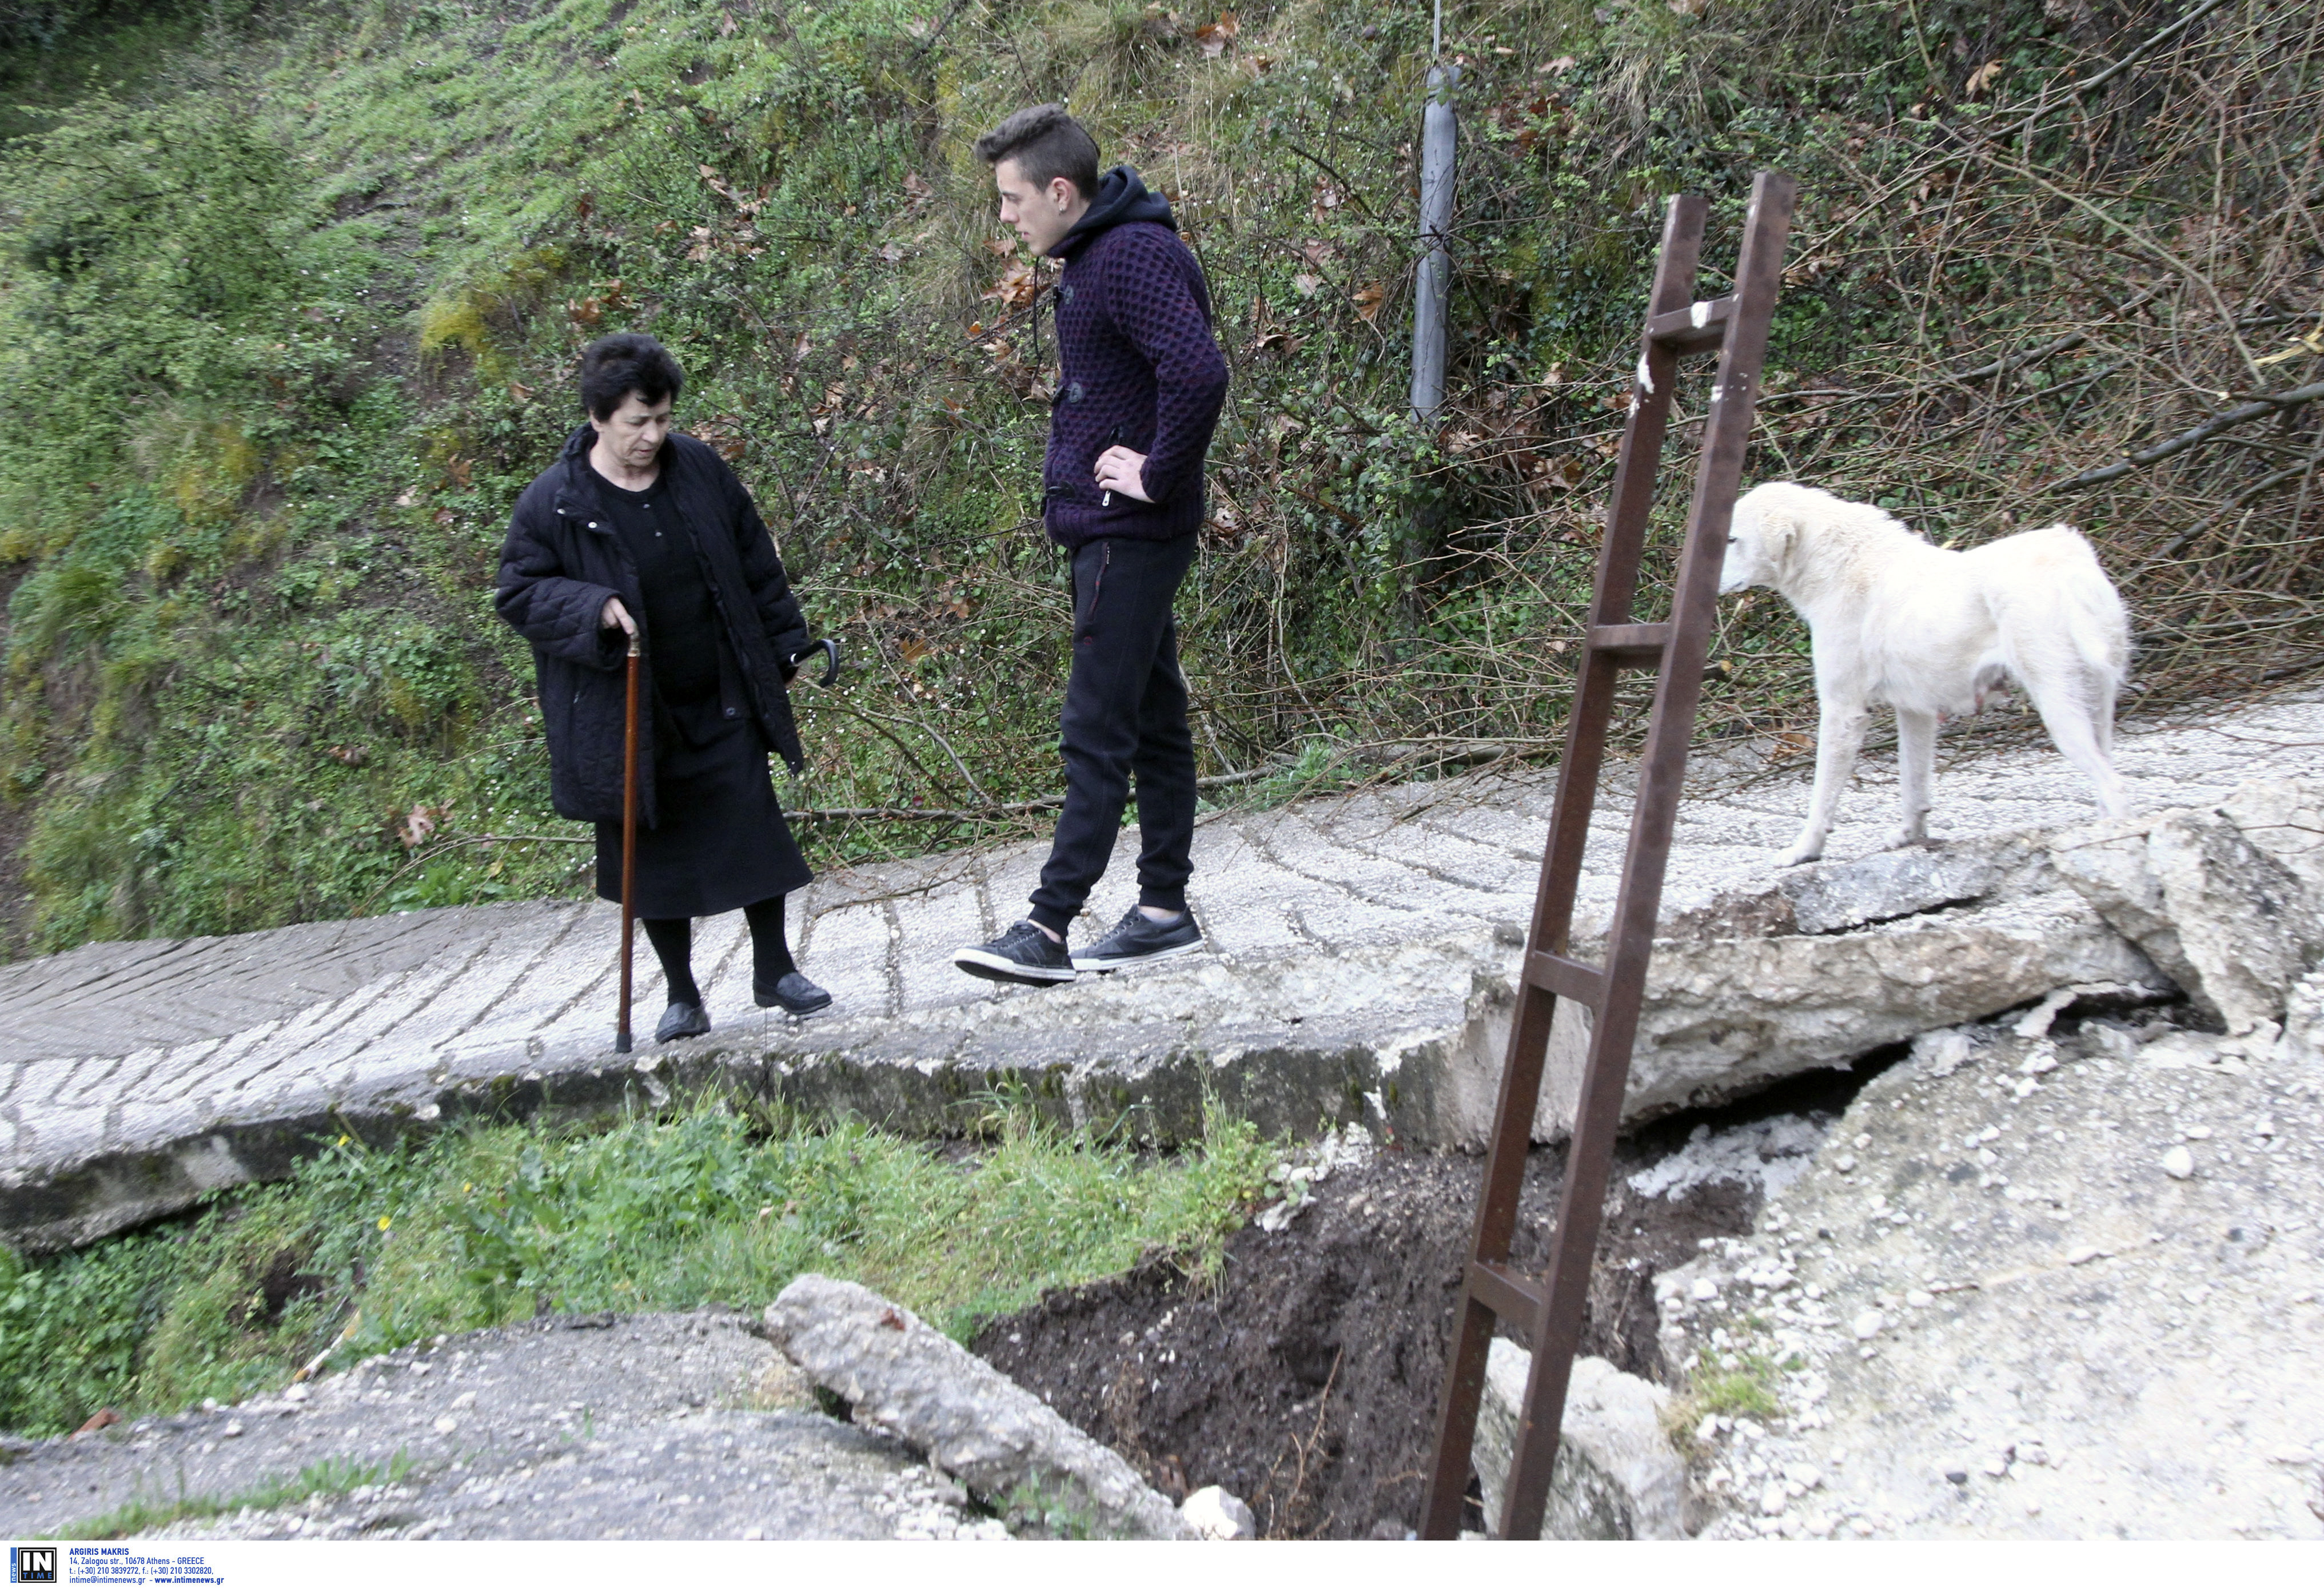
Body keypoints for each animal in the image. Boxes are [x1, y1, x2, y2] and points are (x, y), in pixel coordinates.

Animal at [1717, 481, 2131, 867]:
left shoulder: (1842, 712)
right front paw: (1909, 837)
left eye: (1731, 539)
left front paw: (1804, 851)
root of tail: (2070, 559)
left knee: (2112, 784)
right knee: (2107, 771)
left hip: (2058, 707)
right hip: (2096, 706)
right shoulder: (1916, 712)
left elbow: (1821, 796)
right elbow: (1912, 784)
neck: (1837, 564)